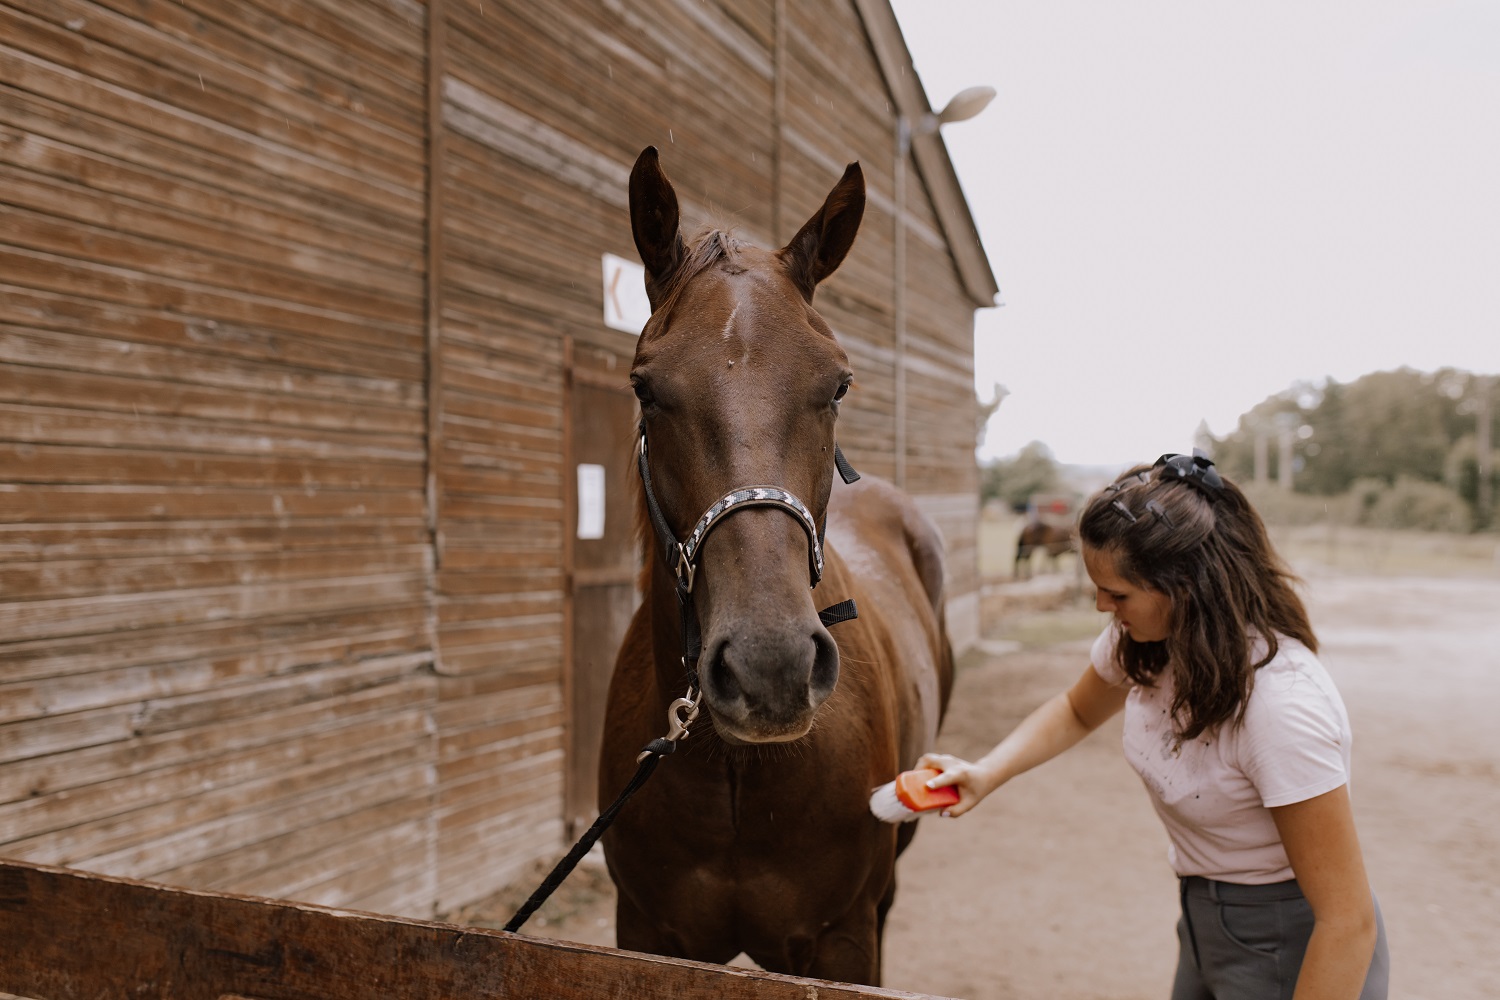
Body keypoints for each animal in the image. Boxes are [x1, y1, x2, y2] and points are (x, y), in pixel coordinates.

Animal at [594, 148, 954, 983]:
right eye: (645, 388)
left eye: (838, 384)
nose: (770, 668)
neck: (734, 774)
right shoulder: (644, 931)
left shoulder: (843, 940)